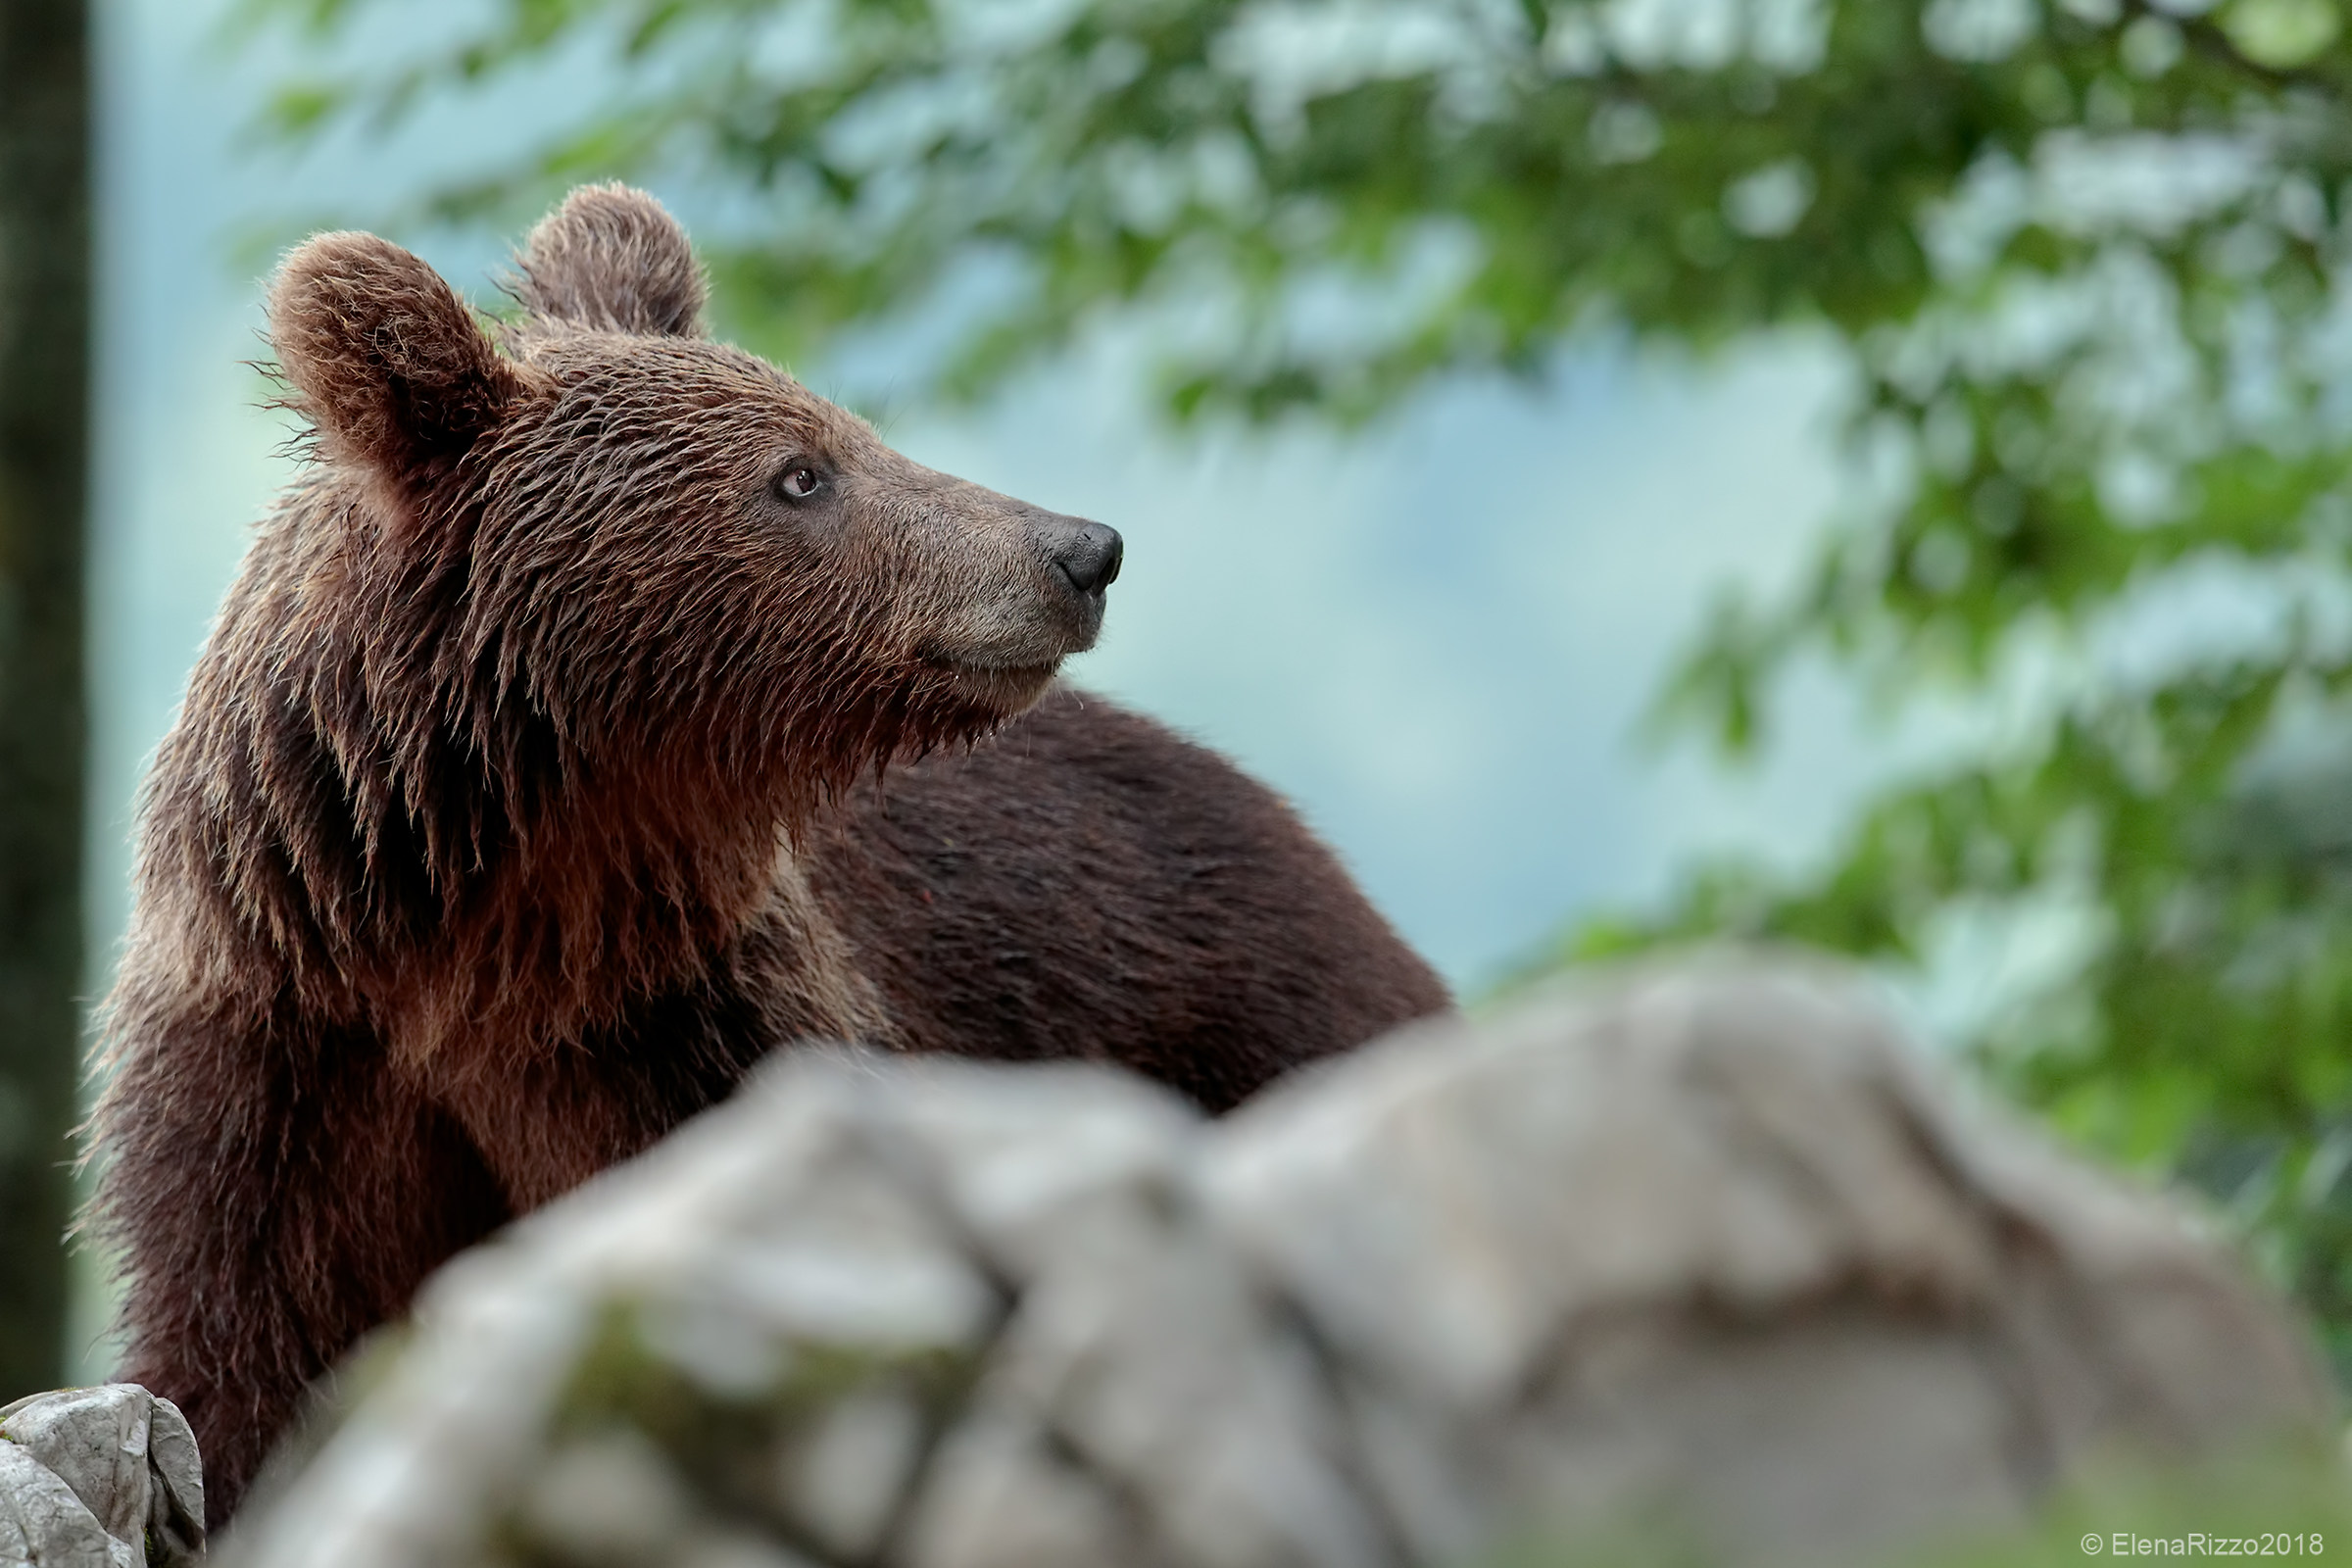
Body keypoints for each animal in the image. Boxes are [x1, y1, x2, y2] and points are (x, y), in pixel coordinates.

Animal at [86, 184, 1449, 1525]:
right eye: (801, 475)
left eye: (842, 428)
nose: (1081, 550)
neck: (491, 921)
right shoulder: (284, 1051)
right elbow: (236, 1345)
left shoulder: (688, 1024)